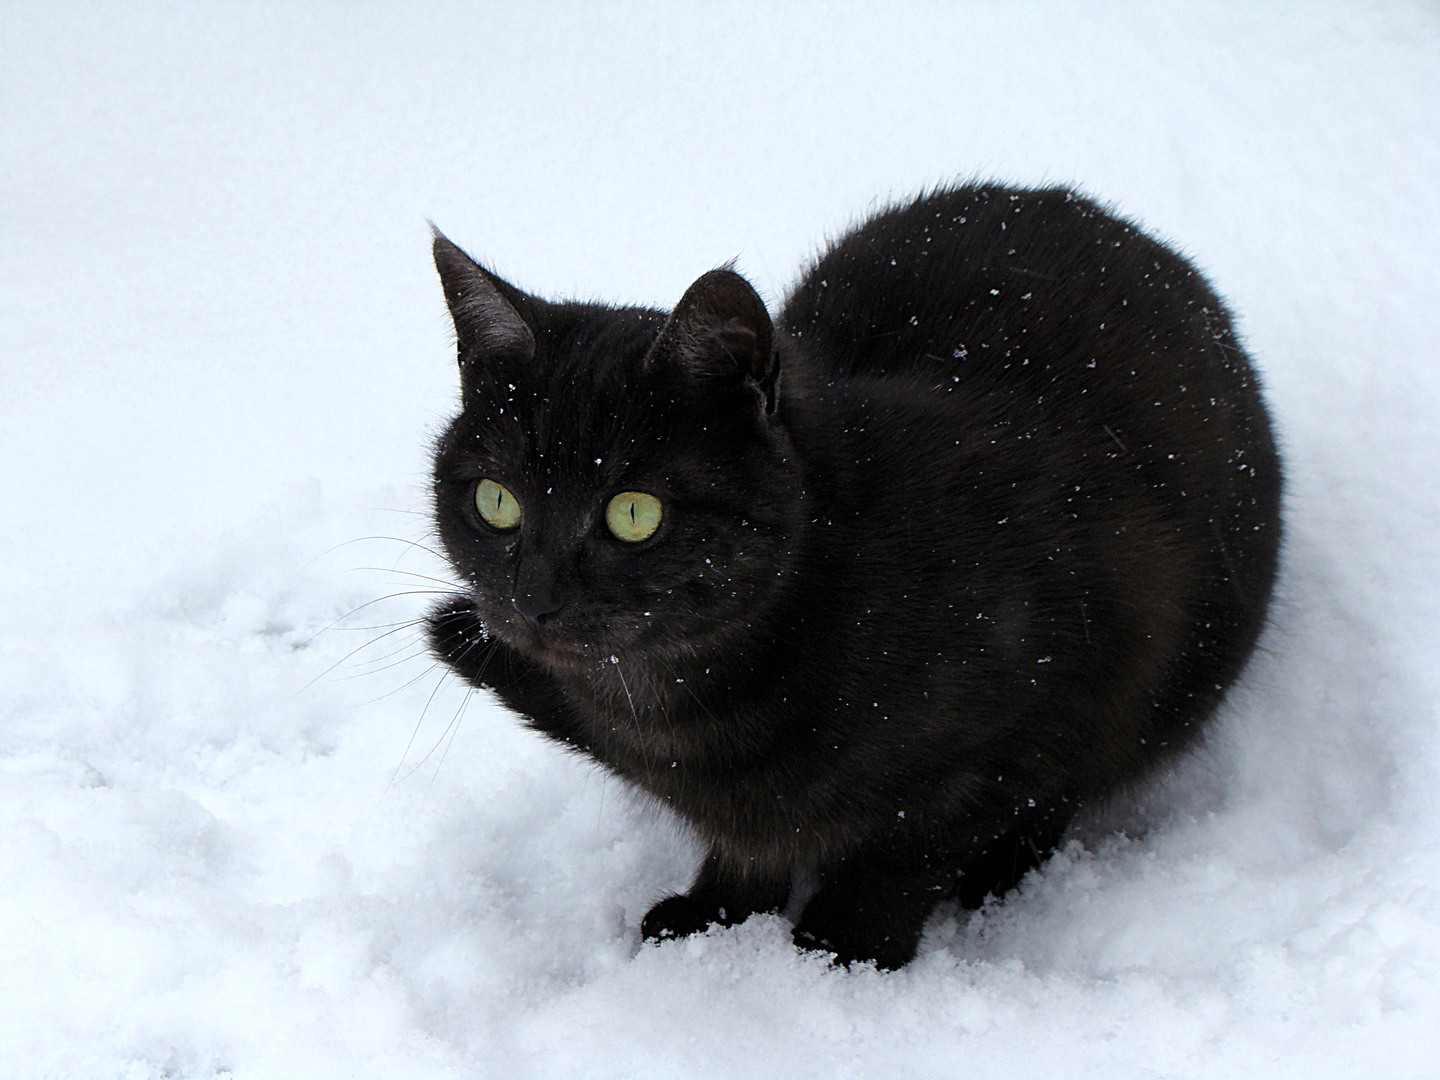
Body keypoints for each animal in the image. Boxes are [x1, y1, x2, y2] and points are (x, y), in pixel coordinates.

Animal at [420, 185, 1278, 973]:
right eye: (497, 502)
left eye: (634, 513)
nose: (532, 598)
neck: (682, 705)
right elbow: (751, 844)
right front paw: (717, 922)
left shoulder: (1033, 699)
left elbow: (909, 851)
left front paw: (840, 955)